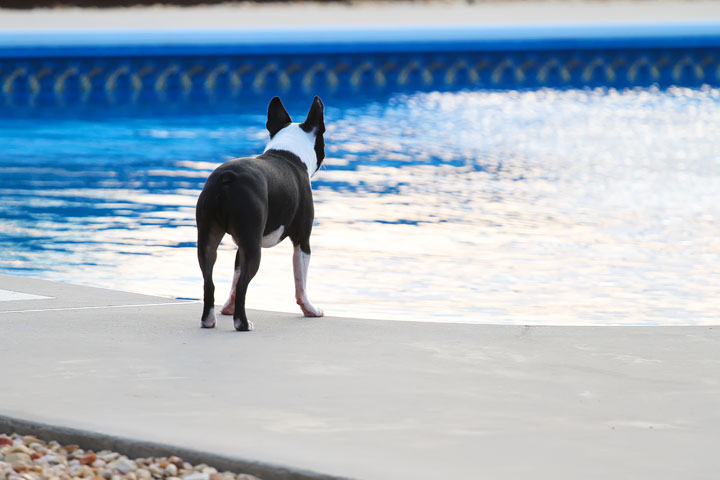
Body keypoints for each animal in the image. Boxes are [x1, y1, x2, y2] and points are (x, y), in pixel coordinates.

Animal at [194, 97, 324, 330]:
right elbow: (301, 282)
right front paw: (310, 309)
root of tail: (228, 177)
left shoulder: (241, 246)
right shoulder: (302, 240)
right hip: (254, 248)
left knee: (209, 280)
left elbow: (235, 276)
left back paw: (209, 320)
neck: (288, 153)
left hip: (210, 238)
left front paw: (228, 307)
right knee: (244, 284)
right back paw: (242, 323)